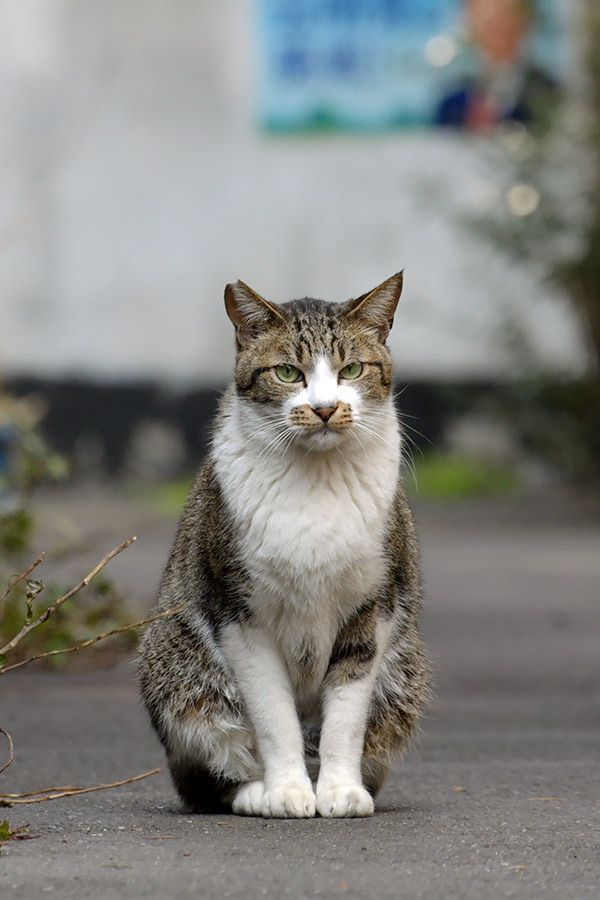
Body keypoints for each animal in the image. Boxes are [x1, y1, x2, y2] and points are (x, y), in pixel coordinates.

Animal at [138, 270, 428, 820]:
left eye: (352, 369)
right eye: (289, 373)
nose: (325, 407)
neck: (316, 478)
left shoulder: (373, 609)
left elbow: (346, 716)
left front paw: (338, 790)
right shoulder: (239, 612)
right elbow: (273, 714)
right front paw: (288, 790)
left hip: (405, 677)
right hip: (176, 665)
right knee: (205, 768)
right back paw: (251, 791)